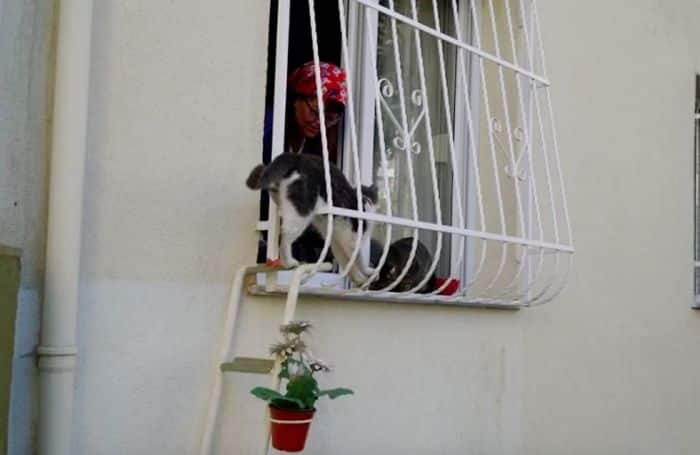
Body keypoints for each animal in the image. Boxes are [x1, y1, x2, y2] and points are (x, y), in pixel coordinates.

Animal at [246, 154, 378, 284]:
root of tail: (296, 157)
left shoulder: (337, 241)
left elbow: (346, 262)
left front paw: (358, 278)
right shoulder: (354, 239)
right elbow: (358, 260)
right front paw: (368, 272)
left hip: (282, 200)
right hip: (301, 214)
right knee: (285, 238)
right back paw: (289, 262)